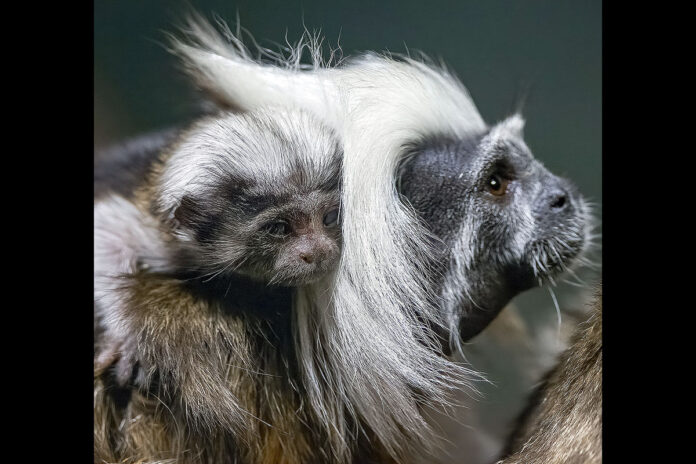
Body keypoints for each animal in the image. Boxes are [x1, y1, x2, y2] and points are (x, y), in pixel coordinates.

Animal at [94, 108, 344, 460]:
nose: (318, 251)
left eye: (329, 218)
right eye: (279, 228)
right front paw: (126, 335)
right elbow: (106, 227)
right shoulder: (160, 240)